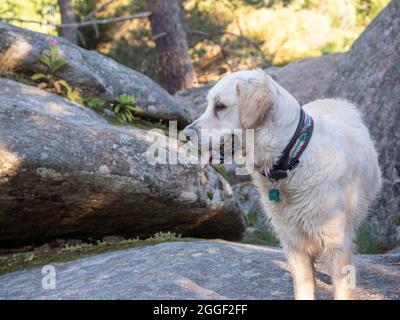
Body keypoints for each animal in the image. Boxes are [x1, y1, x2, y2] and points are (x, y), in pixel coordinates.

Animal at [183, 69, 382, 298]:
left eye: (220, 106)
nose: (184, 134)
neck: (290, 160)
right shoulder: (292, 242)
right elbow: (304, 286)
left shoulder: (336, 244)